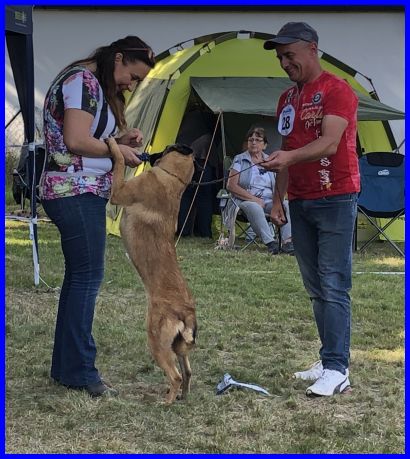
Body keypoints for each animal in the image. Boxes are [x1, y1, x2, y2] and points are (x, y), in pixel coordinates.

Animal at [107, 137, 197, 404]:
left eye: (167, 148)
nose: (149, 154)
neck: (174, 179)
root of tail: (186, 313)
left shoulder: (119, 192)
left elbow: (118, 161)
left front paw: (113, 144)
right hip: (178, 348)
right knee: (187, 372)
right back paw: (181, 397)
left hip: (156, 342)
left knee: (175, 376)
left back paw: (165, 403)